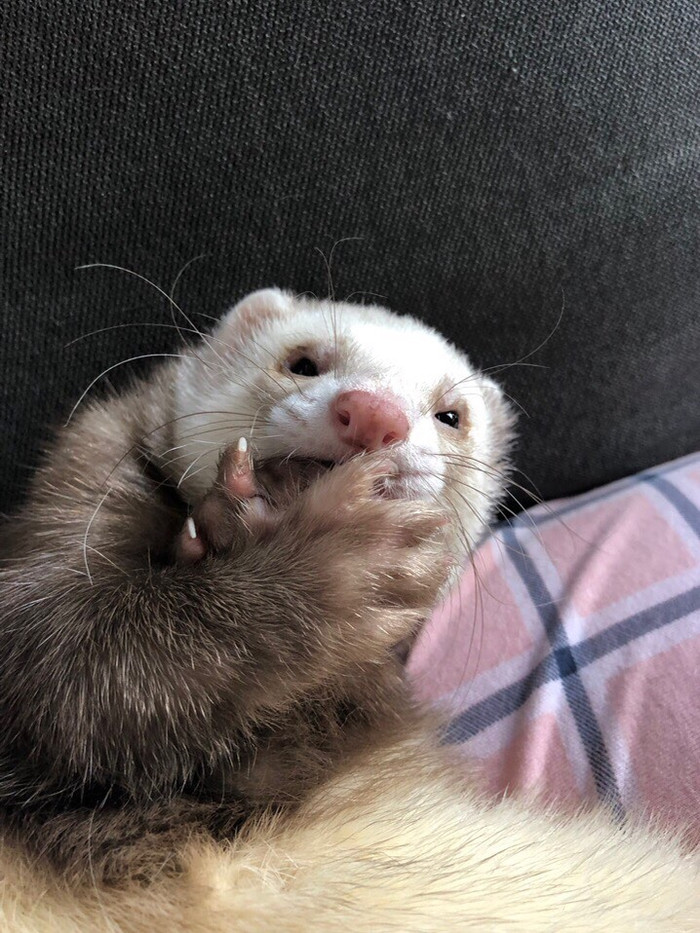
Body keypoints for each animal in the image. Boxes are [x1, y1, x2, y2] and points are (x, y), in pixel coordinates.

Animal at [0, 288, 513, 880]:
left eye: (452, 415)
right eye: (303, 362)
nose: (373, 414)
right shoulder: (71, 514)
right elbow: (70, 667)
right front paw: (331, 565)